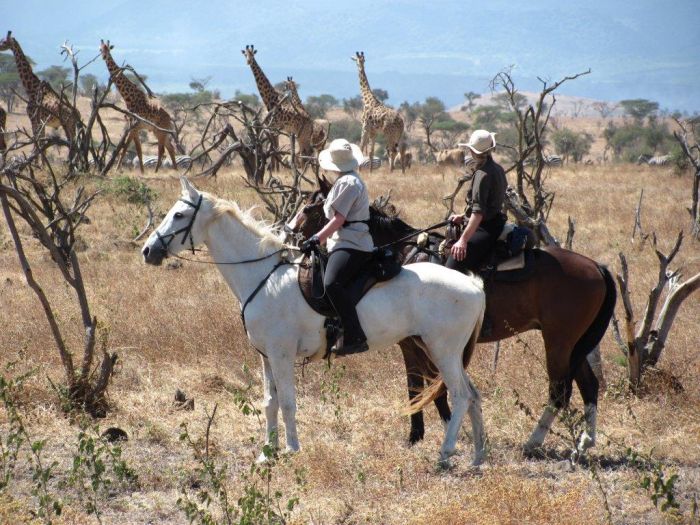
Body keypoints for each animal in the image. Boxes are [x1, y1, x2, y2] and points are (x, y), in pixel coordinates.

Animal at [100, 40, 179, 174]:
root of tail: (170, 118)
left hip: (160, 131)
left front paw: (117, 169)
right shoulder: (133, 127)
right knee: (171, 148)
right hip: (160, 132)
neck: (128, 98)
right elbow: (137, 150)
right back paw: (176, 170)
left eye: (108, 49)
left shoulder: (133, 127)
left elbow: (127, 148)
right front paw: (141, 171)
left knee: (162, 150)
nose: (104, 57)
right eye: (100, 49)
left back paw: (157, 171)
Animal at [142, 178, 486, 464]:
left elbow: (288, 402)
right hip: (439, 351)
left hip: (441, 350)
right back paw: (478, 456)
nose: (148, 251)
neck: (264, 277)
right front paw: (267, 453)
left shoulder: (281, 355)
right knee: (473, 395)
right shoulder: (266, 356)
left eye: (179, 216)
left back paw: (446, 454)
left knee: (460, 395)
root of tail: (473, 285)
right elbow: (269, 402)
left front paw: (292, 449)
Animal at [290, 178, 616, 452]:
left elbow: (430, 387)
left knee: (559, 391)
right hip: (575, 344)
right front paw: (423, 435)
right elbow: (418, 386)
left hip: (558, 341)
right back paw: (584, 443)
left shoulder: (417, 343)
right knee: (589, 385)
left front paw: (446, 432)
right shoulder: (415, 343)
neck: (403, 258)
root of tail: (596, 266)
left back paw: (533, 442)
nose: (291, 233)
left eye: (309, 206)